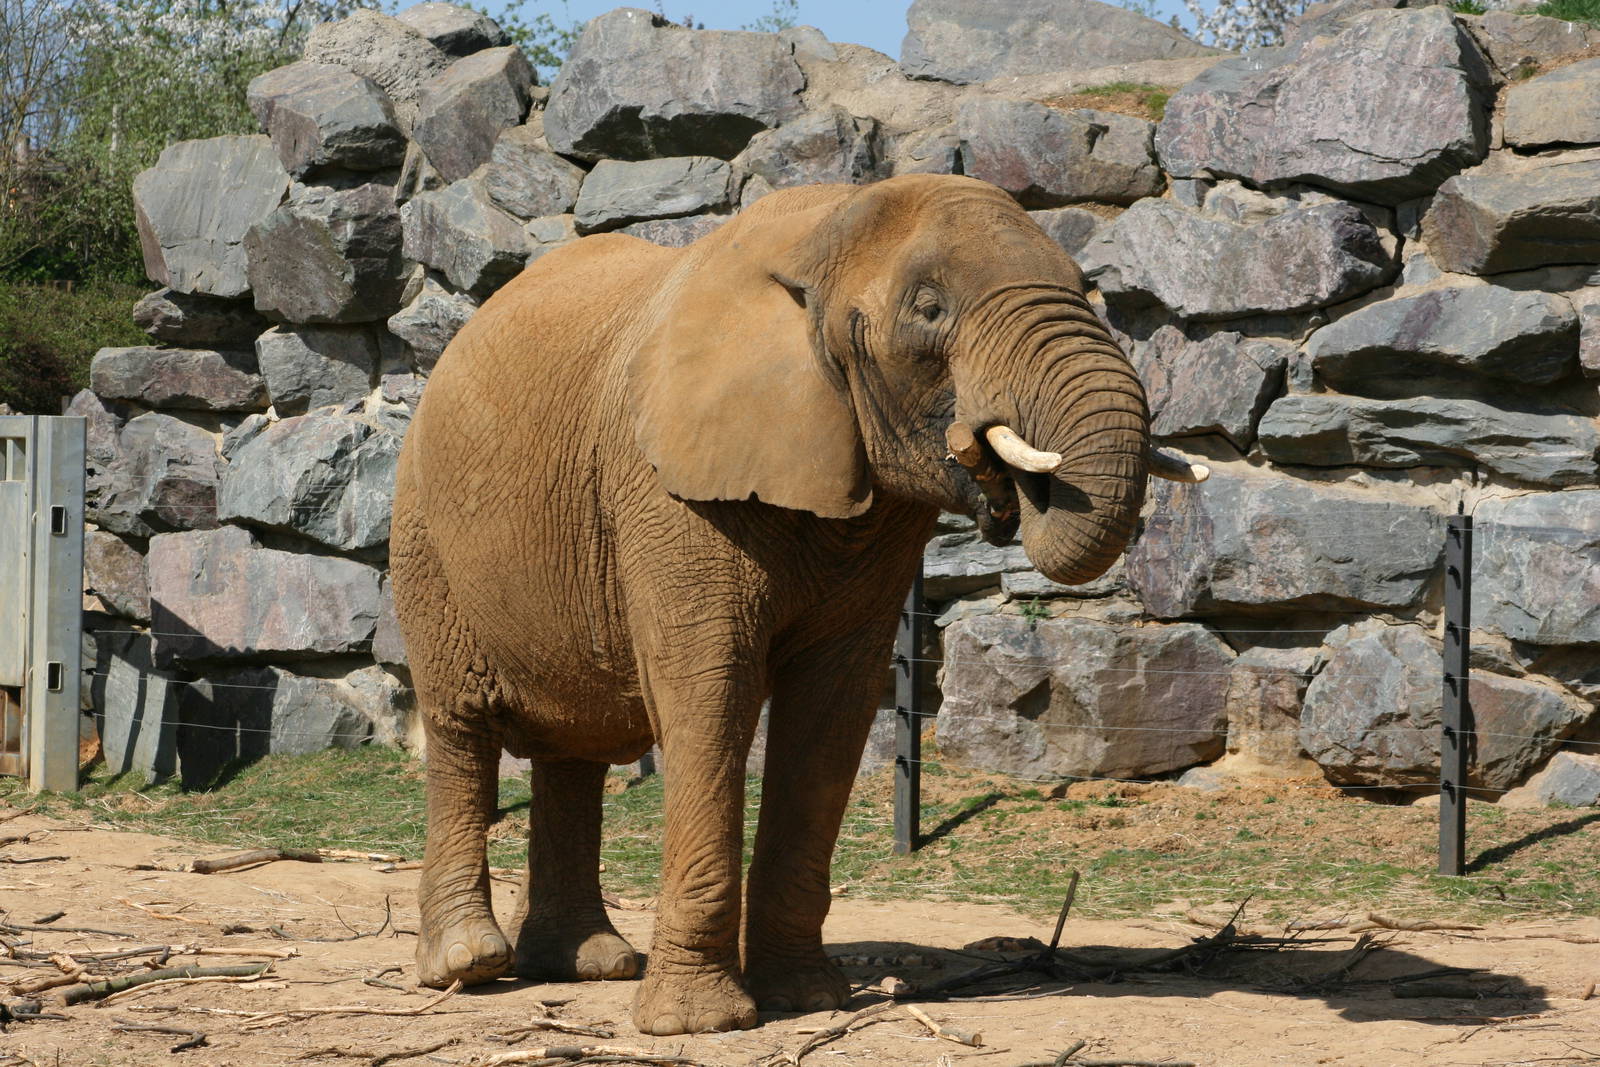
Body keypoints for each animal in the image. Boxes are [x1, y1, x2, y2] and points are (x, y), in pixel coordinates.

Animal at [390, 173, 1206, 1037]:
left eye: (1087, 287)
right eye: (928, 308)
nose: (1005, 484)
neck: (824, 231)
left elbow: (832, 708)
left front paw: (808, 999)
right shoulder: (671, 490)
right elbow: (709, 690)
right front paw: (701, 1023)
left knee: (573, 746)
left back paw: (589, 964)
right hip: (424, 534)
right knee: (463, 724)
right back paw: (470, 965)